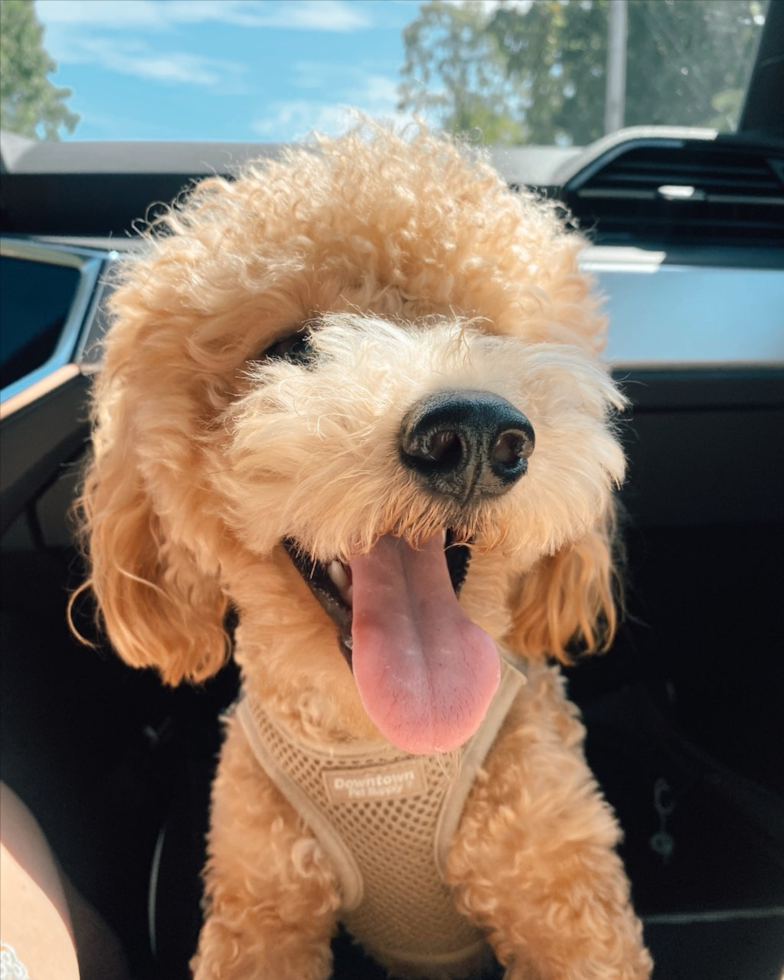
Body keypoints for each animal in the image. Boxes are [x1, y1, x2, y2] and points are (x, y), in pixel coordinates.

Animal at [78, 124, 656, 980]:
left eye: (489, 333)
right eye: (292, 347)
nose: (474, 434)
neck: (384, 745)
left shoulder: (560, 884)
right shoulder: (263, 901)